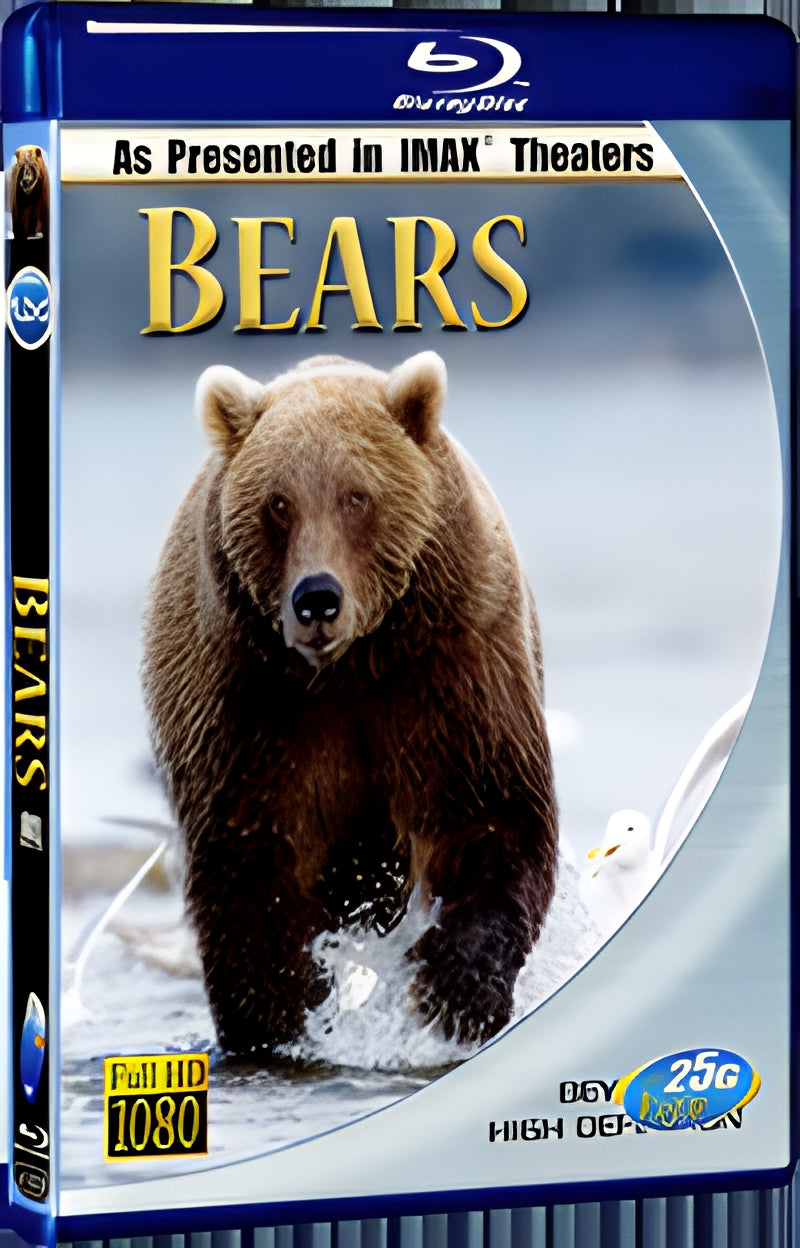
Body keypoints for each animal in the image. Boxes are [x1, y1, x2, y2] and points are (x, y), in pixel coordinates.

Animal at [142, 351, 558, 1057]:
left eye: (357, 496)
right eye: (278, 504)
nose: (317, 598)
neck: (353, 662)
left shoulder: (451, 669)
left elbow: (490, 814)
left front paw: (456, 996)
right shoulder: (247, 704)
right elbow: (253, 869)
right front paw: (274, 1022)